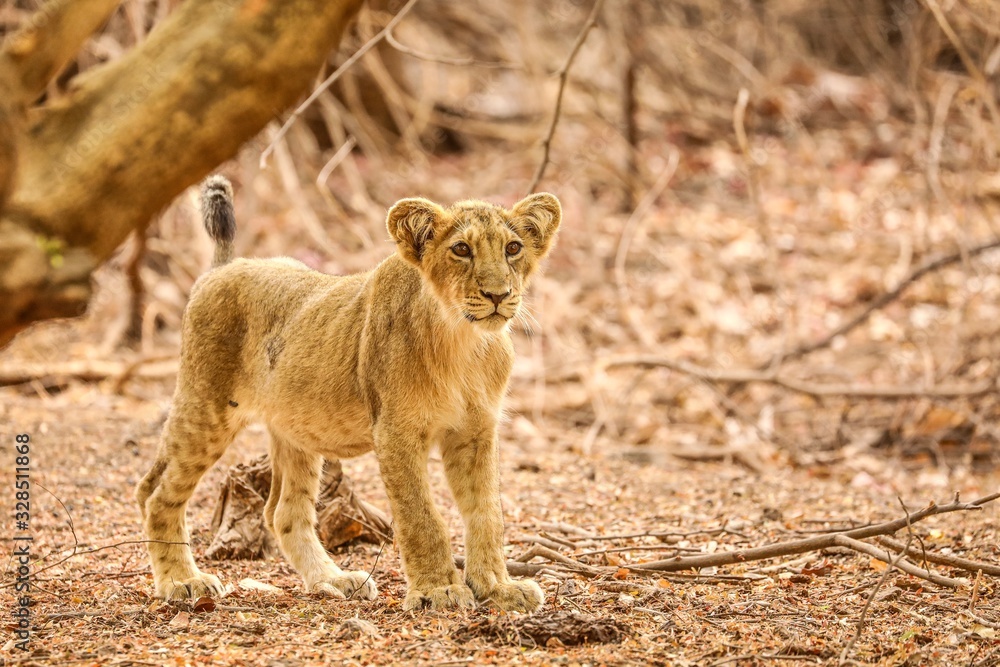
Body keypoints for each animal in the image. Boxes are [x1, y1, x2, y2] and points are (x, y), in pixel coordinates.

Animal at [135, 175, 561, 612]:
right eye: (461, 249)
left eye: (513, 248)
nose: (497, 295)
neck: (465, 342)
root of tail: (225, 266)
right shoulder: (395, 431)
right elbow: (421, 516)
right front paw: (438, 590)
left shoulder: (476, 431)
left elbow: (486, 513)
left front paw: (497, 587)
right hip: (206, 404)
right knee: (154, 491)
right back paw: (183, 581)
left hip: (293, 429)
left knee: (282, 512)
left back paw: (333, 579)